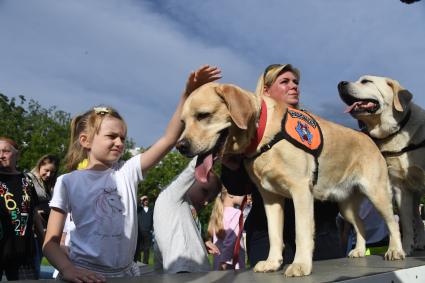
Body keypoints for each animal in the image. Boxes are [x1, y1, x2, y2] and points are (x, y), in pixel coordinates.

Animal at [176, 82, 404, 278]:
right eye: (183, 123)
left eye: (203, 115)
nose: (181, 146)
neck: (263, 134)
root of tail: (369, 139)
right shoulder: (270, 197)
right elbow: (274, 234)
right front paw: (272, 262)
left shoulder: (301, 190)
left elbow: (301, 232)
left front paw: (300, 264)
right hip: (346, 205)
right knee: (360, 225)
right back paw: (359, 250)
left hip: (377, 193)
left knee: (392, 222)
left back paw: (395, 251)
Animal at [340, 75, 425, 255]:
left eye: (366, 81)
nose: (340, 83)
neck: (397, 132)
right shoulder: (400, 188)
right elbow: (406, 224)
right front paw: (403, 248)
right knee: (417, 219)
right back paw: (420, 242)